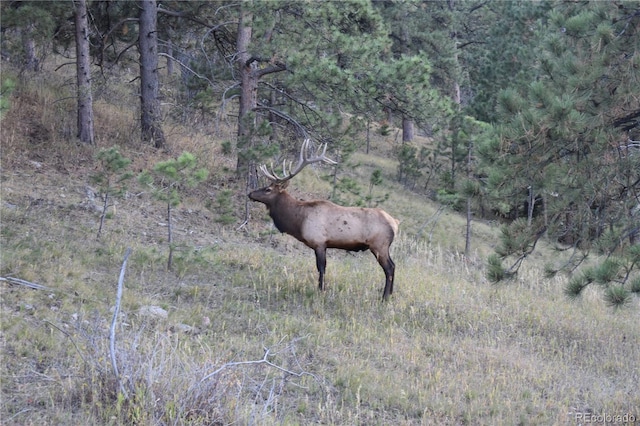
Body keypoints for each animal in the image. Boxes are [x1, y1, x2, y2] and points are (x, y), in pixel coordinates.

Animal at [250, 140, 400, 300]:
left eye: (268, 190)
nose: (250, 193)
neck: (299, 220)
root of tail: (396, 223)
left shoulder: (319, 242)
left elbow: (321, 268)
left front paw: (320, 290)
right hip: (382, 247)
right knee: (394, 265)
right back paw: (390, 294)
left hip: (379, 245)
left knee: (389, 268)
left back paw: (384, 297)